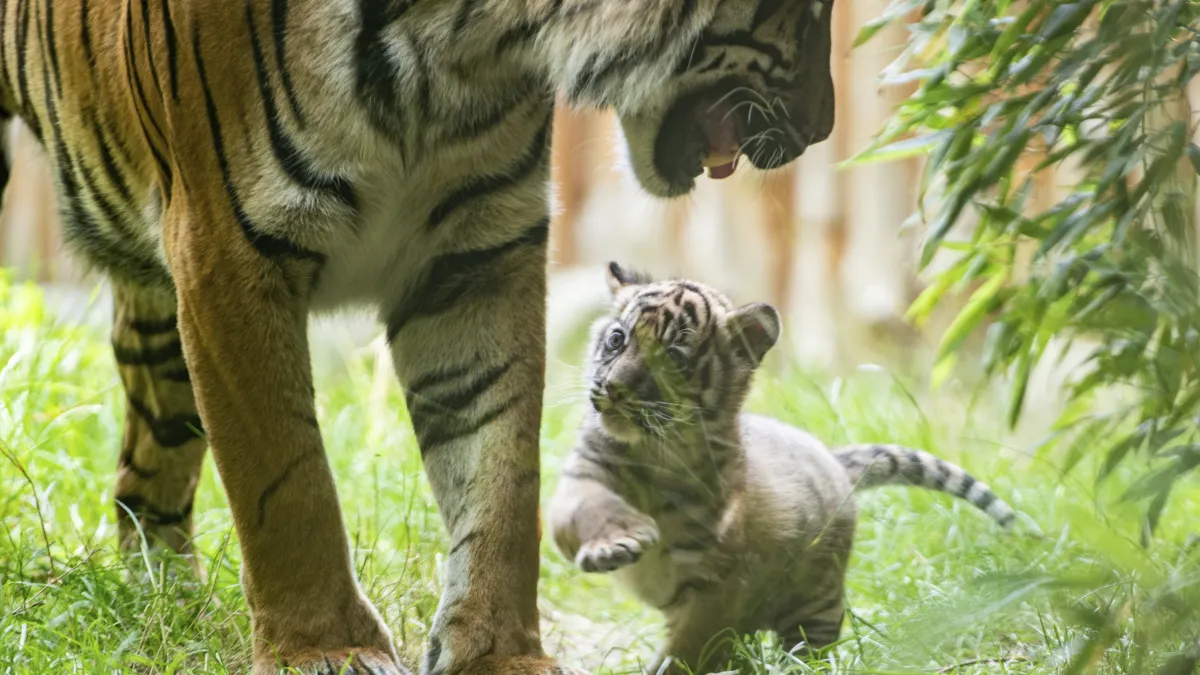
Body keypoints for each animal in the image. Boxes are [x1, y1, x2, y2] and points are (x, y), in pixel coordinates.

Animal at [0, 0, 835, 672]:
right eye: (806, 11)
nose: (821, 127)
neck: (461, 47)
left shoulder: (478, 255)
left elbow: (501, 472)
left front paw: (499, 653)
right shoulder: (227, 251)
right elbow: (286, 479)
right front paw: (324, 647)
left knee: (145, 474)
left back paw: (170, 608)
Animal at [547, 263, 1015, 674]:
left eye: (674, 358)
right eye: (617, 338)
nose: (614, 389)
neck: (654, 451)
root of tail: (832, 458)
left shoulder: (719, 581)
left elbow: (692, 648)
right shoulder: (583, 475)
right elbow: (585, 507)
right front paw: (616, 544)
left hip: (817, 599)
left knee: (809, 644)